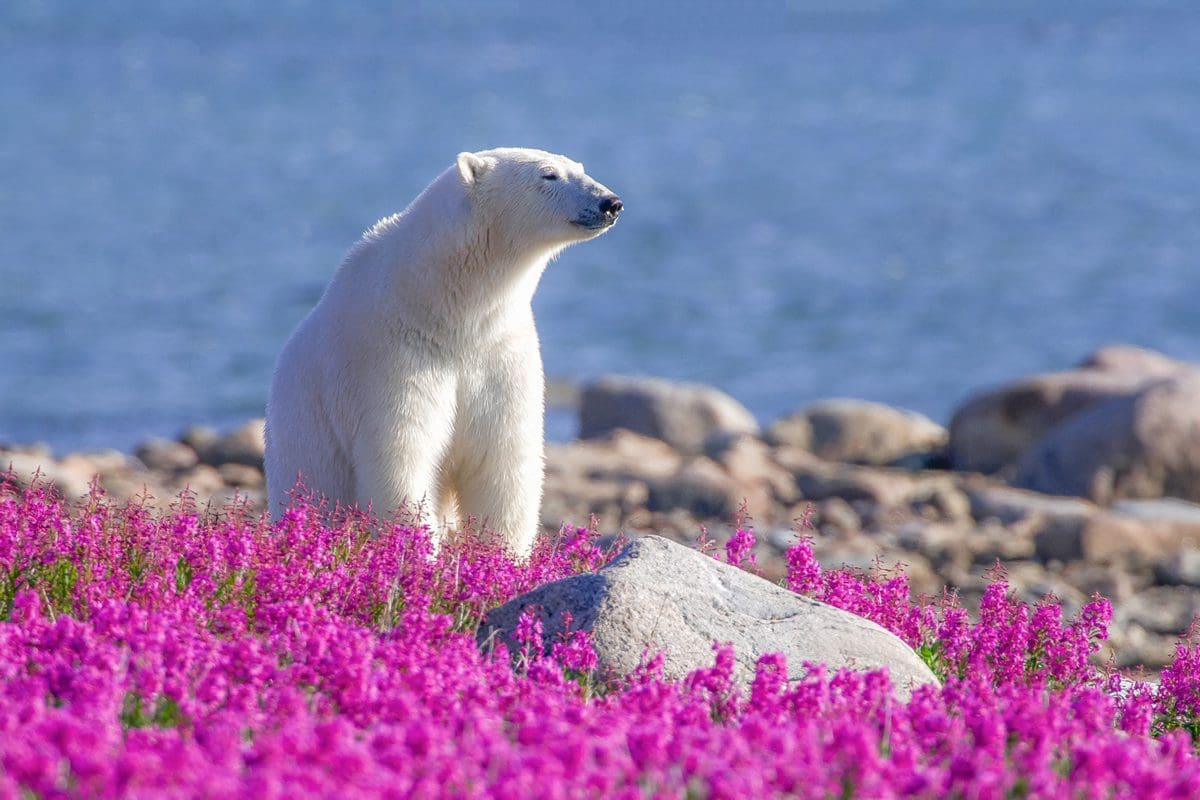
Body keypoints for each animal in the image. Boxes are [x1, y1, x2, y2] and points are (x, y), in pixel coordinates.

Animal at [265, 147, 622, 558]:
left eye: (579, 168)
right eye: (548, 175)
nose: (610, 202)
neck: (443, 307)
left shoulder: (499, 352)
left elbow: (502, 459)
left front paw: (502, 557)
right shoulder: (390, 354)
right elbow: (401, 457)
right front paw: (419, 554)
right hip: (304, 440)